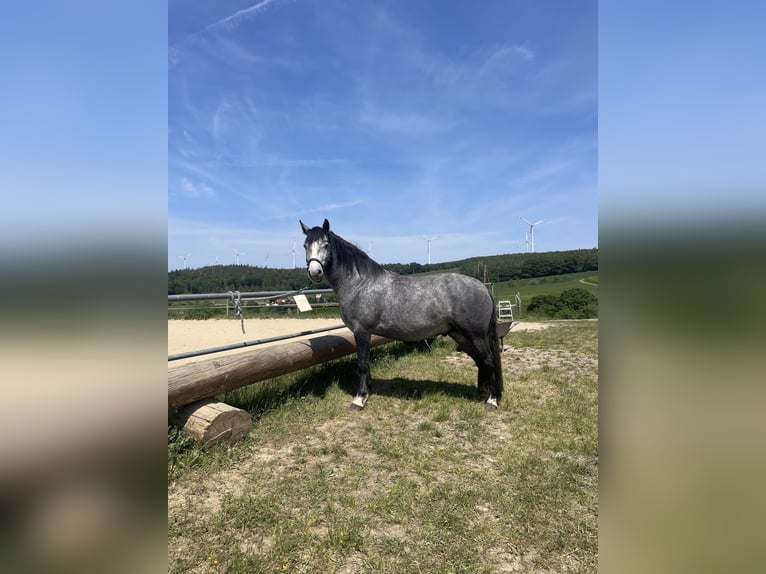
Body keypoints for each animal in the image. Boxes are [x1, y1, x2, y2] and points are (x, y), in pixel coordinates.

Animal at [300, 218, 504, 412]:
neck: (359, 283)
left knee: (489, 361)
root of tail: (482, 287)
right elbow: (366, 365)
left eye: (326, 244)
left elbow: (362, 364)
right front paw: (367, 392)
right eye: (305, 245)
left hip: (476, 336)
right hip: (460, 335)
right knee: (479, 361)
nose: (315, 272)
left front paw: (359, 399)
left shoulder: (362, 331)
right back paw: (483, 393)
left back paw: (492, 401)